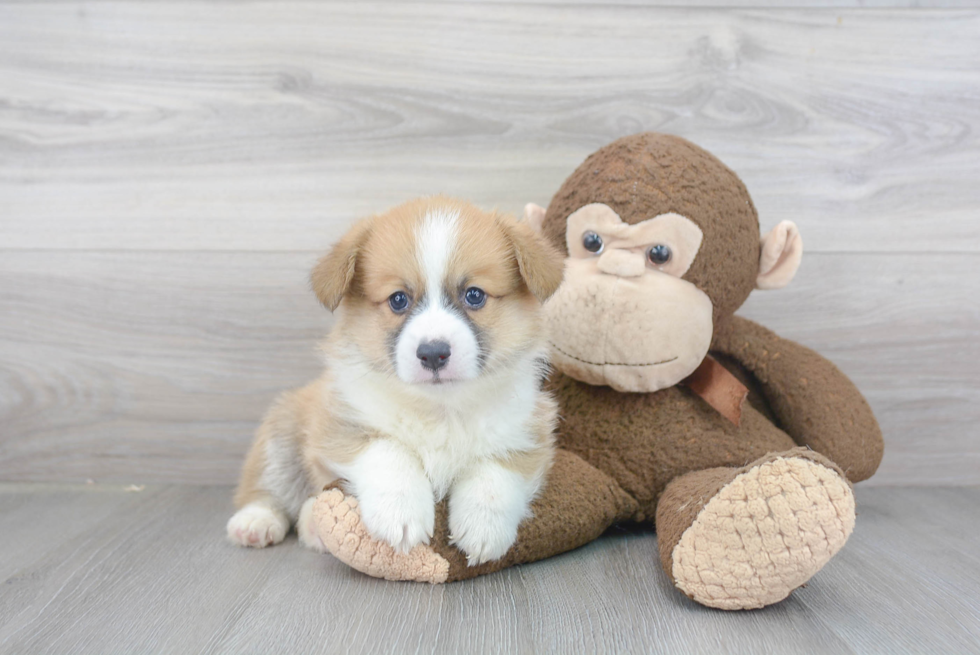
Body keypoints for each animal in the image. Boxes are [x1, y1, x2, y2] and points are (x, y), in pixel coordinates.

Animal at [229, 195, 564, 564]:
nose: (433, 353)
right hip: (281, 436)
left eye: (474, 295)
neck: (440, 410)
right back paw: (256, 522)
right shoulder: (341, 425)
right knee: (266, 487)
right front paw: (400, 514)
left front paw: (483, 528)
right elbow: (390, 452)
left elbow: (495, 473)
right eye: (398, 299)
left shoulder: (526, 434)